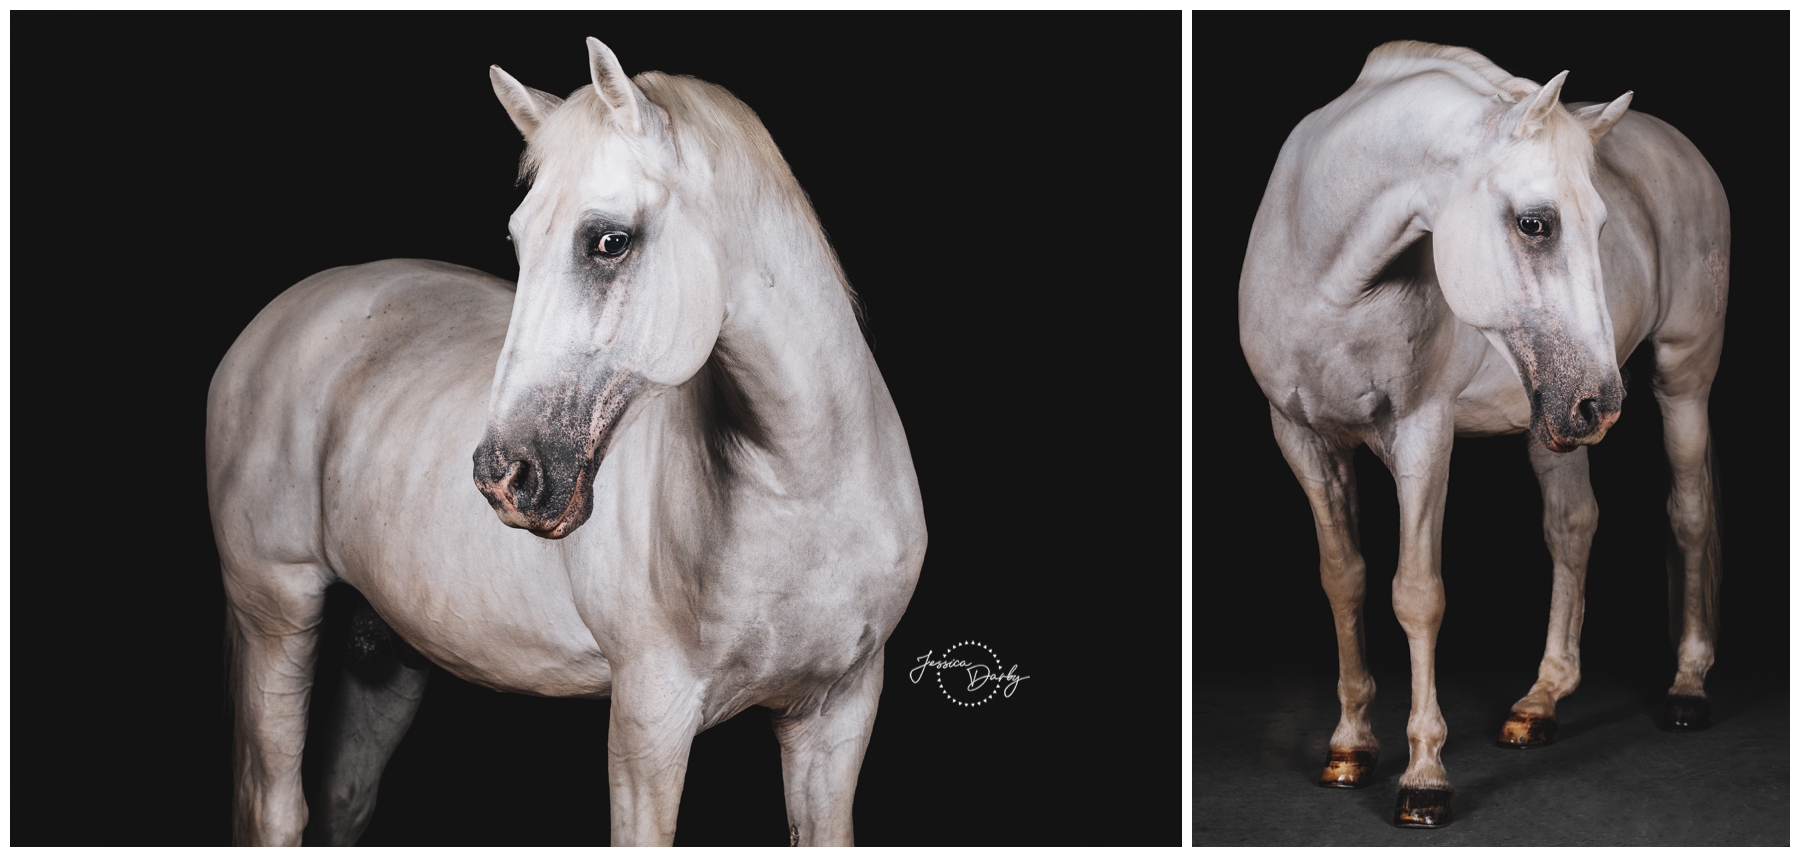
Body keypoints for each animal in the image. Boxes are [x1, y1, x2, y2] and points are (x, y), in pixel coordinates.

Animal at [208, 37, 927, 846]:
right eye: (518, 241)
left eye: (609, 241)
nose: (504, 475)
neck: (802, 494)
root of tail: (279, 317)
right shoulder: (649, 719)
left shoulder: (838, 714)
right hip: (276, 612)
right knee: (276, 804)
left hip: (388, 658)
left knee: (343, 799)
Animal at [1237, 41, 1727, 828]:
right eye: (1536, 224)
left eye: (1603, 226)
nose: (1606, 401)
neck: (1327, 276)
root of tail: (1680, 147)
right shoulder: (1302, 438)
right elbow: (1344, 580)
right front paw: (1350, 746)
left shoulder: (1421, 435)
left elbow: (1416, 593)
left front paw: (1424, 776)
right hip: (1552, 418)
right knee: (1572, 525)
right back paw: (1541, 700)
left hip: (1677, 378)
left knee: (1689, 514)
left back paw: (1687, 683)